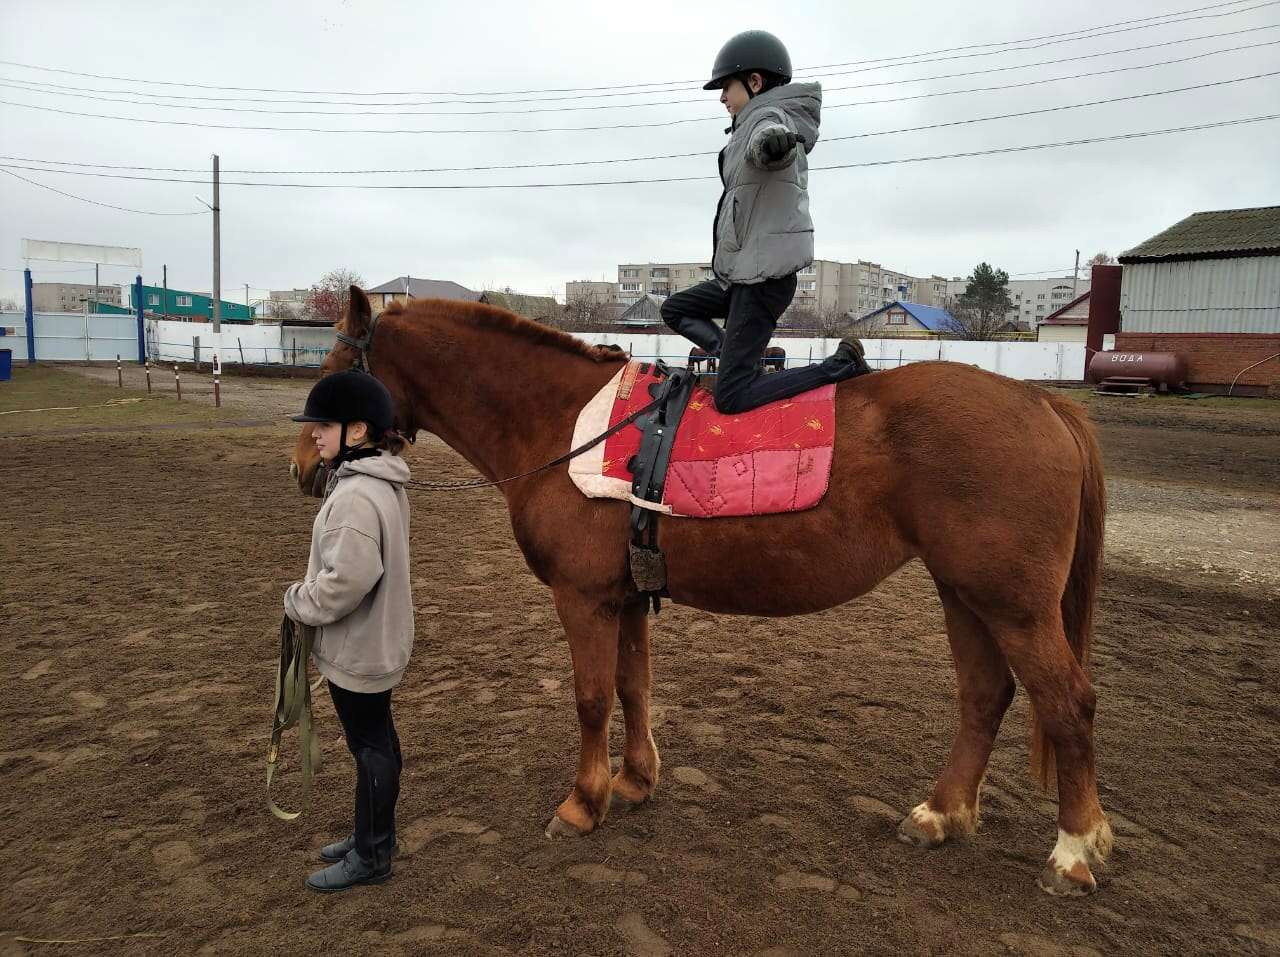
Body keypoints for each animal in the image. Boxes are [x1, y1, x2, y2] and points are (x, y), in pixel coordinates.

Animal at [290, 289, 1111, 895]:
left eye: (332, 365)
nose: (304, 464)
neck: (565, 424)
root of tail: (1042, 404)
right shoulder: (624, 597)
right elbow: (633, 685)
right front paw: (633, 780)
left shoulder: (583, 599)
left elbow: (592, 697)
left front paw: (583, 803)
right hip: (963, 593)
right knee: (985, 696)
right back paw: (940, 815)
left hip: (1012, 605)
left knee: (1067, 703)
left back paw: (1072, 851)